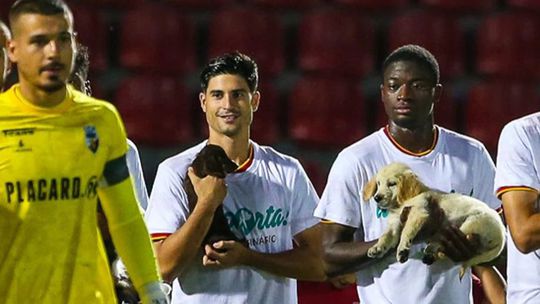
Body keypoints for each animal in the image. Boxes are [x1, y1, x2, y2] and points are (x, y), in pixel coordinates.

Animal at [362, 164, 506, 276]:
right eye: (378, 184)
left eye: (392, 184)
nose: (376, 198)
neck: (401, 203)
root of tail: (502, 236)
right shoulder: (395, 223)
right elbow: (386, 236)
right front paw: (377, 248)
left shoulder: (419, 212)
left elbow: (406, 231)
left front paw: (402, 249)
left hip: (471, 223)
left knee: (445, 241)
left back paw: (430, 249)